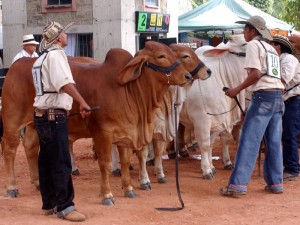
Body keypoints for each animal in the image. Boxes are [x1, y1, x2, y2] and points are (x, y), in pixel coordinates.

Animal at [1, 41, 192, 205]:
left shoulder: (126, 133)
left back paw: (38, 183)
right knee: (9, 150)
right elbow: (105, 163)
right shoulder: (103, 134)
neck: (129, 91)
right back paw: (11, 187)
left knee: (30, 147)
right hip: (12, 121)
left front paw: (129, 189)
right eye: (161, 56)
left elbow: (125, 161)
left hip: (34, 124)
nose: (188, 76)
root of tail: (16, 65)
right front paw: (107, 195)